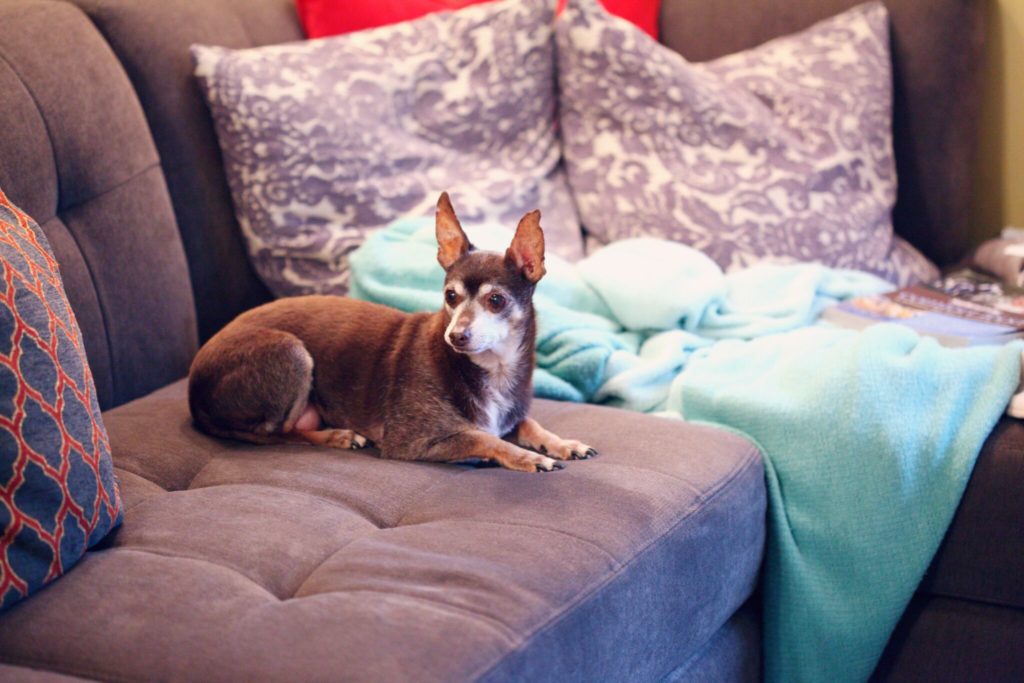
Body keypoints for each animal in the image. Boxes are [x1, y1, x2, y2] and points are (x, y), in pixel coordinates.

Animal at [188, 189, 598, 473]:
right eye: (450, 297)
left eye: (496, 300)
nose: (456, 336)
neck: (493, 369)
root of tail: (194, 393)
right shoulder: (411, 441)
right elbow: (482, 437)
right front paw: (527, 457)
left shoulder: (511, 415)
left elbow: (530, 423)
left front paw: (563, 443)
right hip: (291, 354)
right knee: (275, 433)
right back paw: (337, 435)